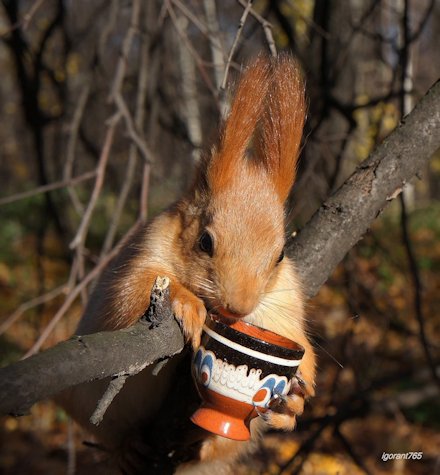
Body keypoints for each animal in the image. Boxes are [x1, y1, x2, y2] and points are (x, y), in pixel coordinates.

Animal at [62, 54, 316, 474]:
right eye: (205, 242)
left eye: (280, 255)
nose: (239, 307)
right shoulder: (146, 250)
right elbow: (127, 296)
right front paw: (186, 303)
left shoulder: (284, 296)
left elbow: (298, 340)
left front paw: (294, 399)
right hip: (88, 406)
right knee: (111, 435)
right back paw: (126, 447)